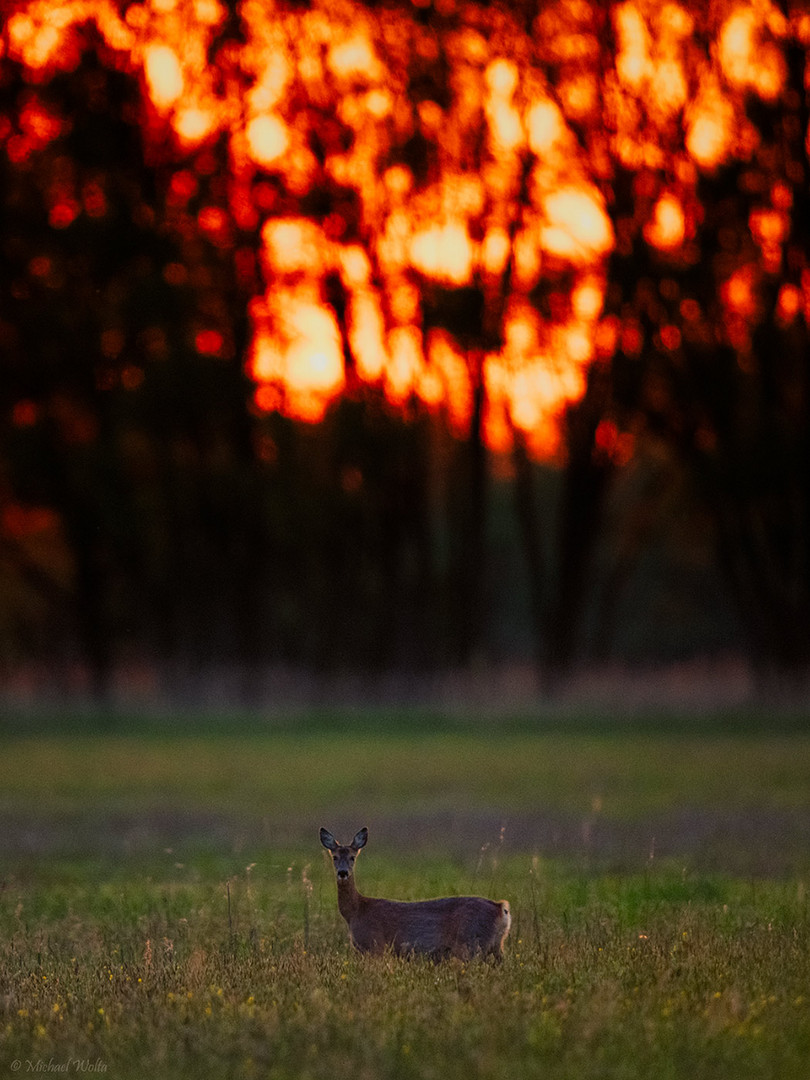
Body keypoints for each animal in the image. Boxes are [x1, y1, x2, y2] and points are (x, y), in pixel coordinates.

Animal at [319, 825, 509, 963]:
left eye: (353, 857)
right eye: (334, 857)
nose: (343, 872)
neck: (356, 911)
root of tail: (501, 908)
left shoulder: (375, 945)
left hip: (472, 943)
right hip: (495, 946)